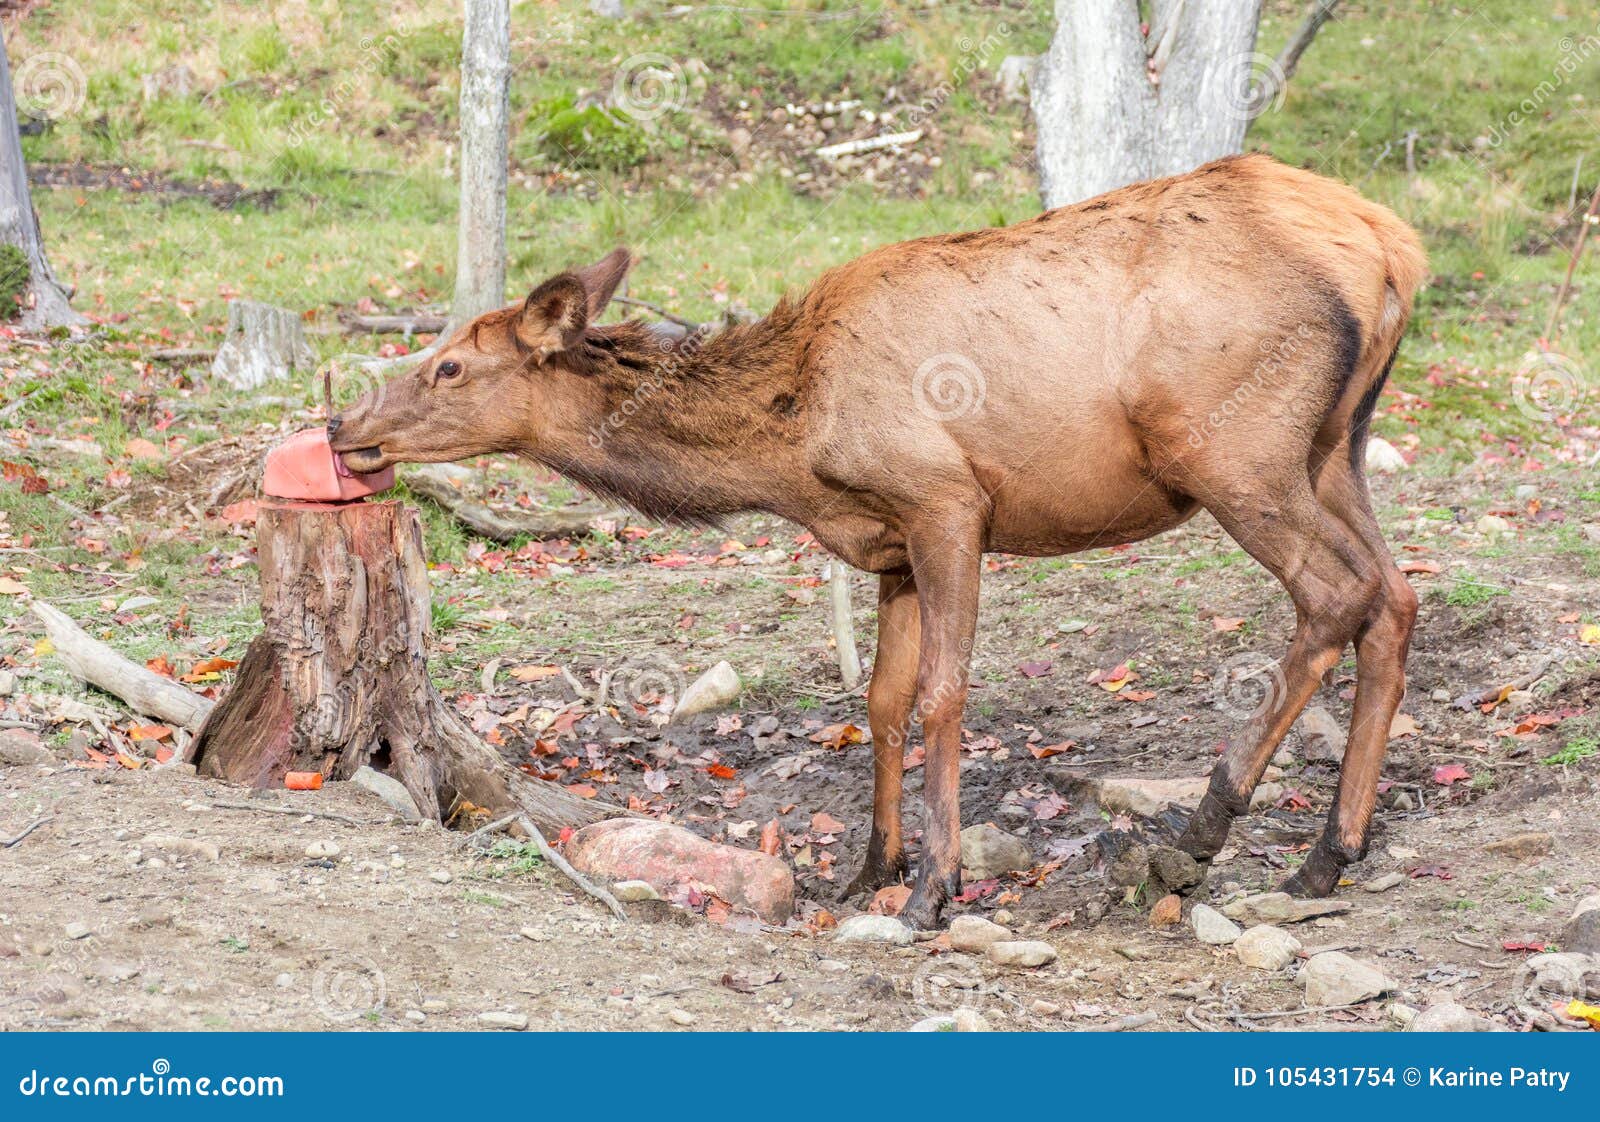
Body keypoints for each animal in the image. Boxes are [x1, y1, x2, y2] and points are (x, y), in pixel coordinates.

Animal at [331, 155, 1433, 928]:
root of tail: (1395, 249)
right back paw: (1330, 853)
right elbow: (883, 701)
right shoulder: (892, 545)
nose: (345, 425)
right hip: (1334, 447)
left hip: (1228, 449)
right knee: (1395, 592)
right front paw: (871, 871)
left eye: (452, 367)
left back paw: (1206, 822)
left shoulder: (947, 501)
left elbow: (944, 694)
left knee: (1334, 594)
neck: (793, 444)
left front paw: (937, 885)